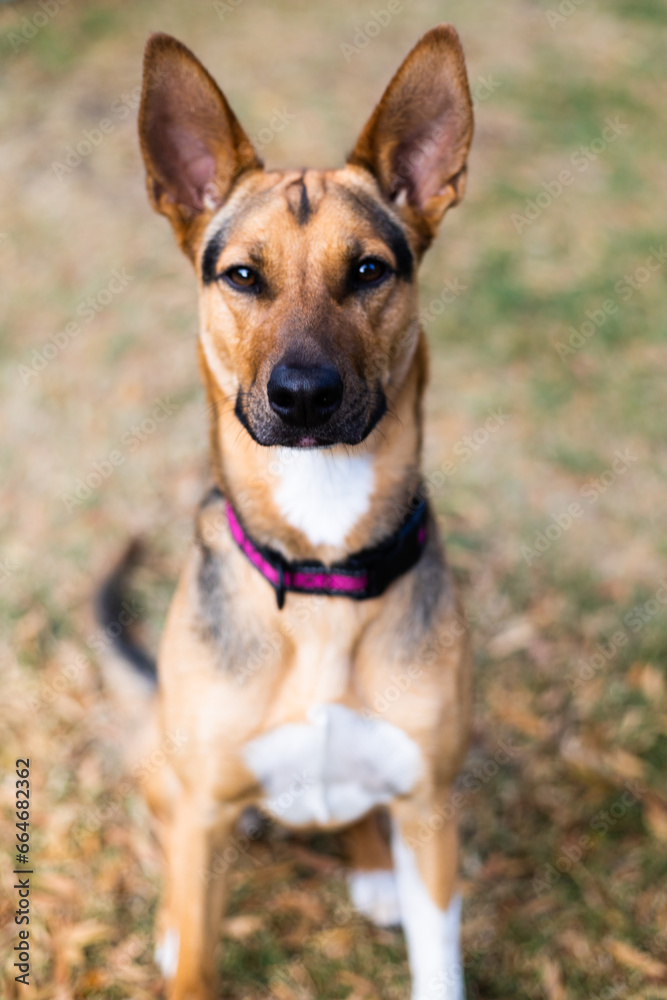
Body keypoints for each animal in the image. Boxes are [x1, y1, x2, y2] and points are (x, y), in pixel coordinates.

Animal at [105, 23, 474, 1000]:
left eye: (369, 270)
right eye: (242, 275)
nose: (303, 396)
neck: (320, 564)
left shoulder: (430, 809)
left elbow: (439, 961)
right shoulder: (201, 812)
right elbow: (197, 955)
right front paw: (179, 943)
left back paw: (370, 867)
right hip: (171, 771)